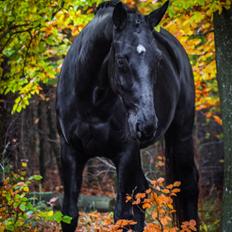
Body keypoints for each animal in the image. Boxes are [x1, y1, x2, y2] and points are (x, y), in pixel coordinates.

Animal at [55, 0, 198, 231]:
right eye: (121, 60)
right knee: (143, 192)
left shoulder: (126, 153)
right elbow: (69, 214)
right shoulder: (70, 152)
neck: (91, 102)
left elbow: (122, 216)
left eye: (158, 59)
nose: (146, 125)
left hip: (181, 136)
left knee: (188, 185)